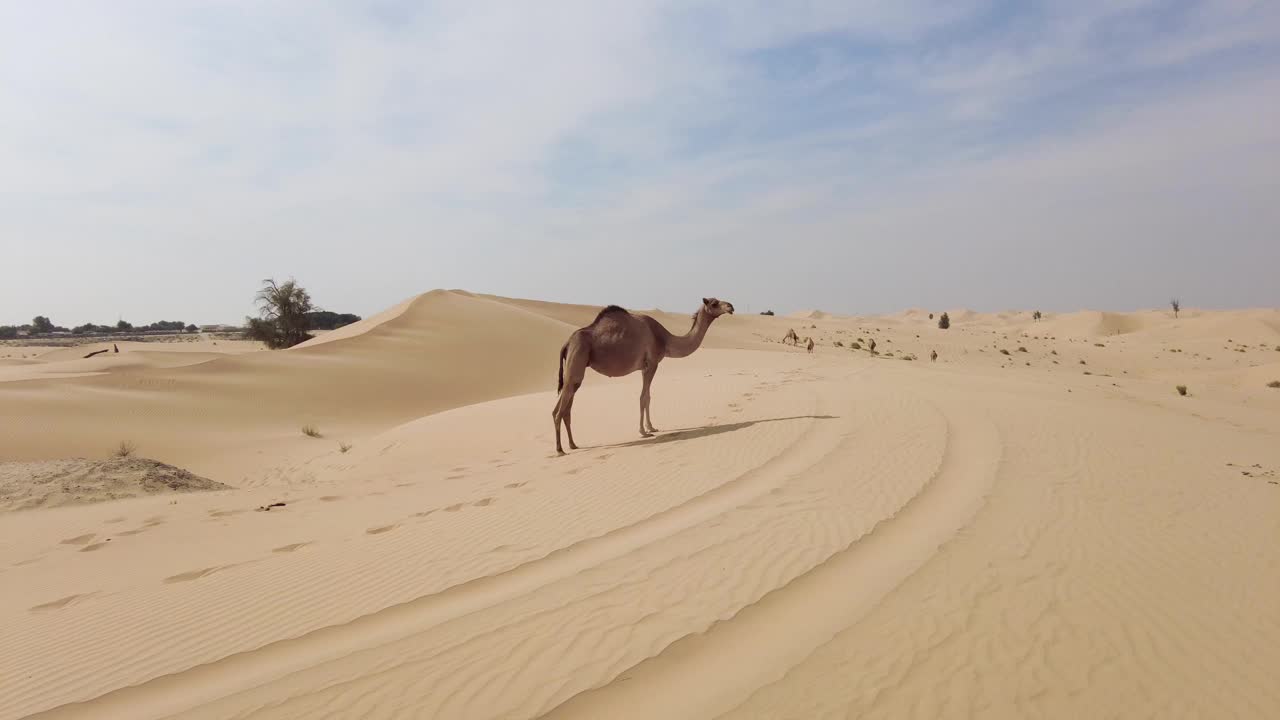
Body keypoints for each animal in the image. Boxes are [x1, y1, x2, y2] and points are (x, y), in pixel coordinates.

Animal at [552, 294, 742, 450]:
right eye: (714, 303)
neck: (664, 339)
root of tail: (566, 343)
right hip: (577, 359)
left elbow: (648, 397)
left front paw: (651, 427)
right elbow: (644, 397)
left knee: (563, 407)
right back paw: (560, 449)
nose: (731, 306)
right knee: (561, 408)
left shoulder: (644, 367)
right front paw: (644, 431)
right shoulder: (652, 364)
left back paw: (573, 444)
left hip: (574, 367)